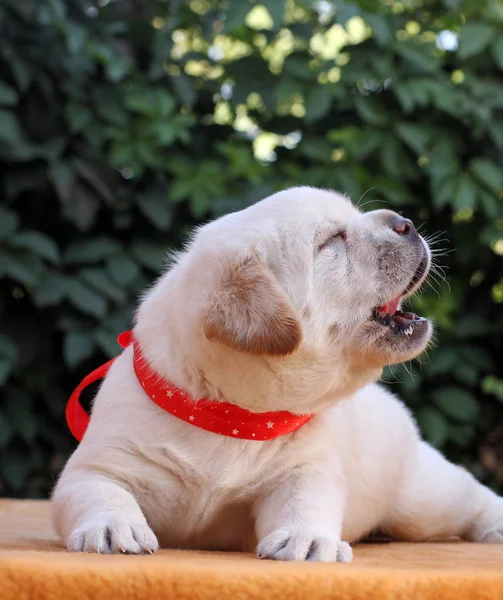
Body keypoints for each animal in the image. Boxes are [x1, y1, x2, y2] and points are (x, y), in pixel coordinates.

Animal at [52, 185, 503, 560]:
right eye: (331, 241)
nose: (405, 222)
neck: (230, 413)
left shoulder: (307, 468)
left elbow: (304, 500)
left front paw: (308, 540)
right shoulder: (100, 463)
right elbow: (101, 491)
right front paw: (112, 527)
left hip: (419, 495)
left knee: (469, 495)